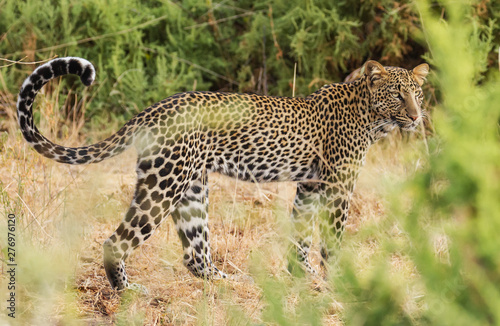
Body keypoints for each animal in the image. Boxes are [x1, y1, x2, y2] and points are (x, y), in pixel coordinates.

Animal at [16, 56, 430, 290]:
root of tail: (153, 109)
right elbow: (333, 238)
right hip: (165, 183)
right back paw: (127, 290)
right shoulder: (339, 185)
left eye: (418, 94)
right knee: (116, 241)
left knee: (194, 253)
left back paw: (227, 281)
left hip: (191, 188)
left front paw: (302, 275)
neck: (370, 117)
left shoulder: (310, 186)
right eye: (398, 94)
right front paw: (336, 279)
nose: (415, 117)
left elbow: (300, 234)